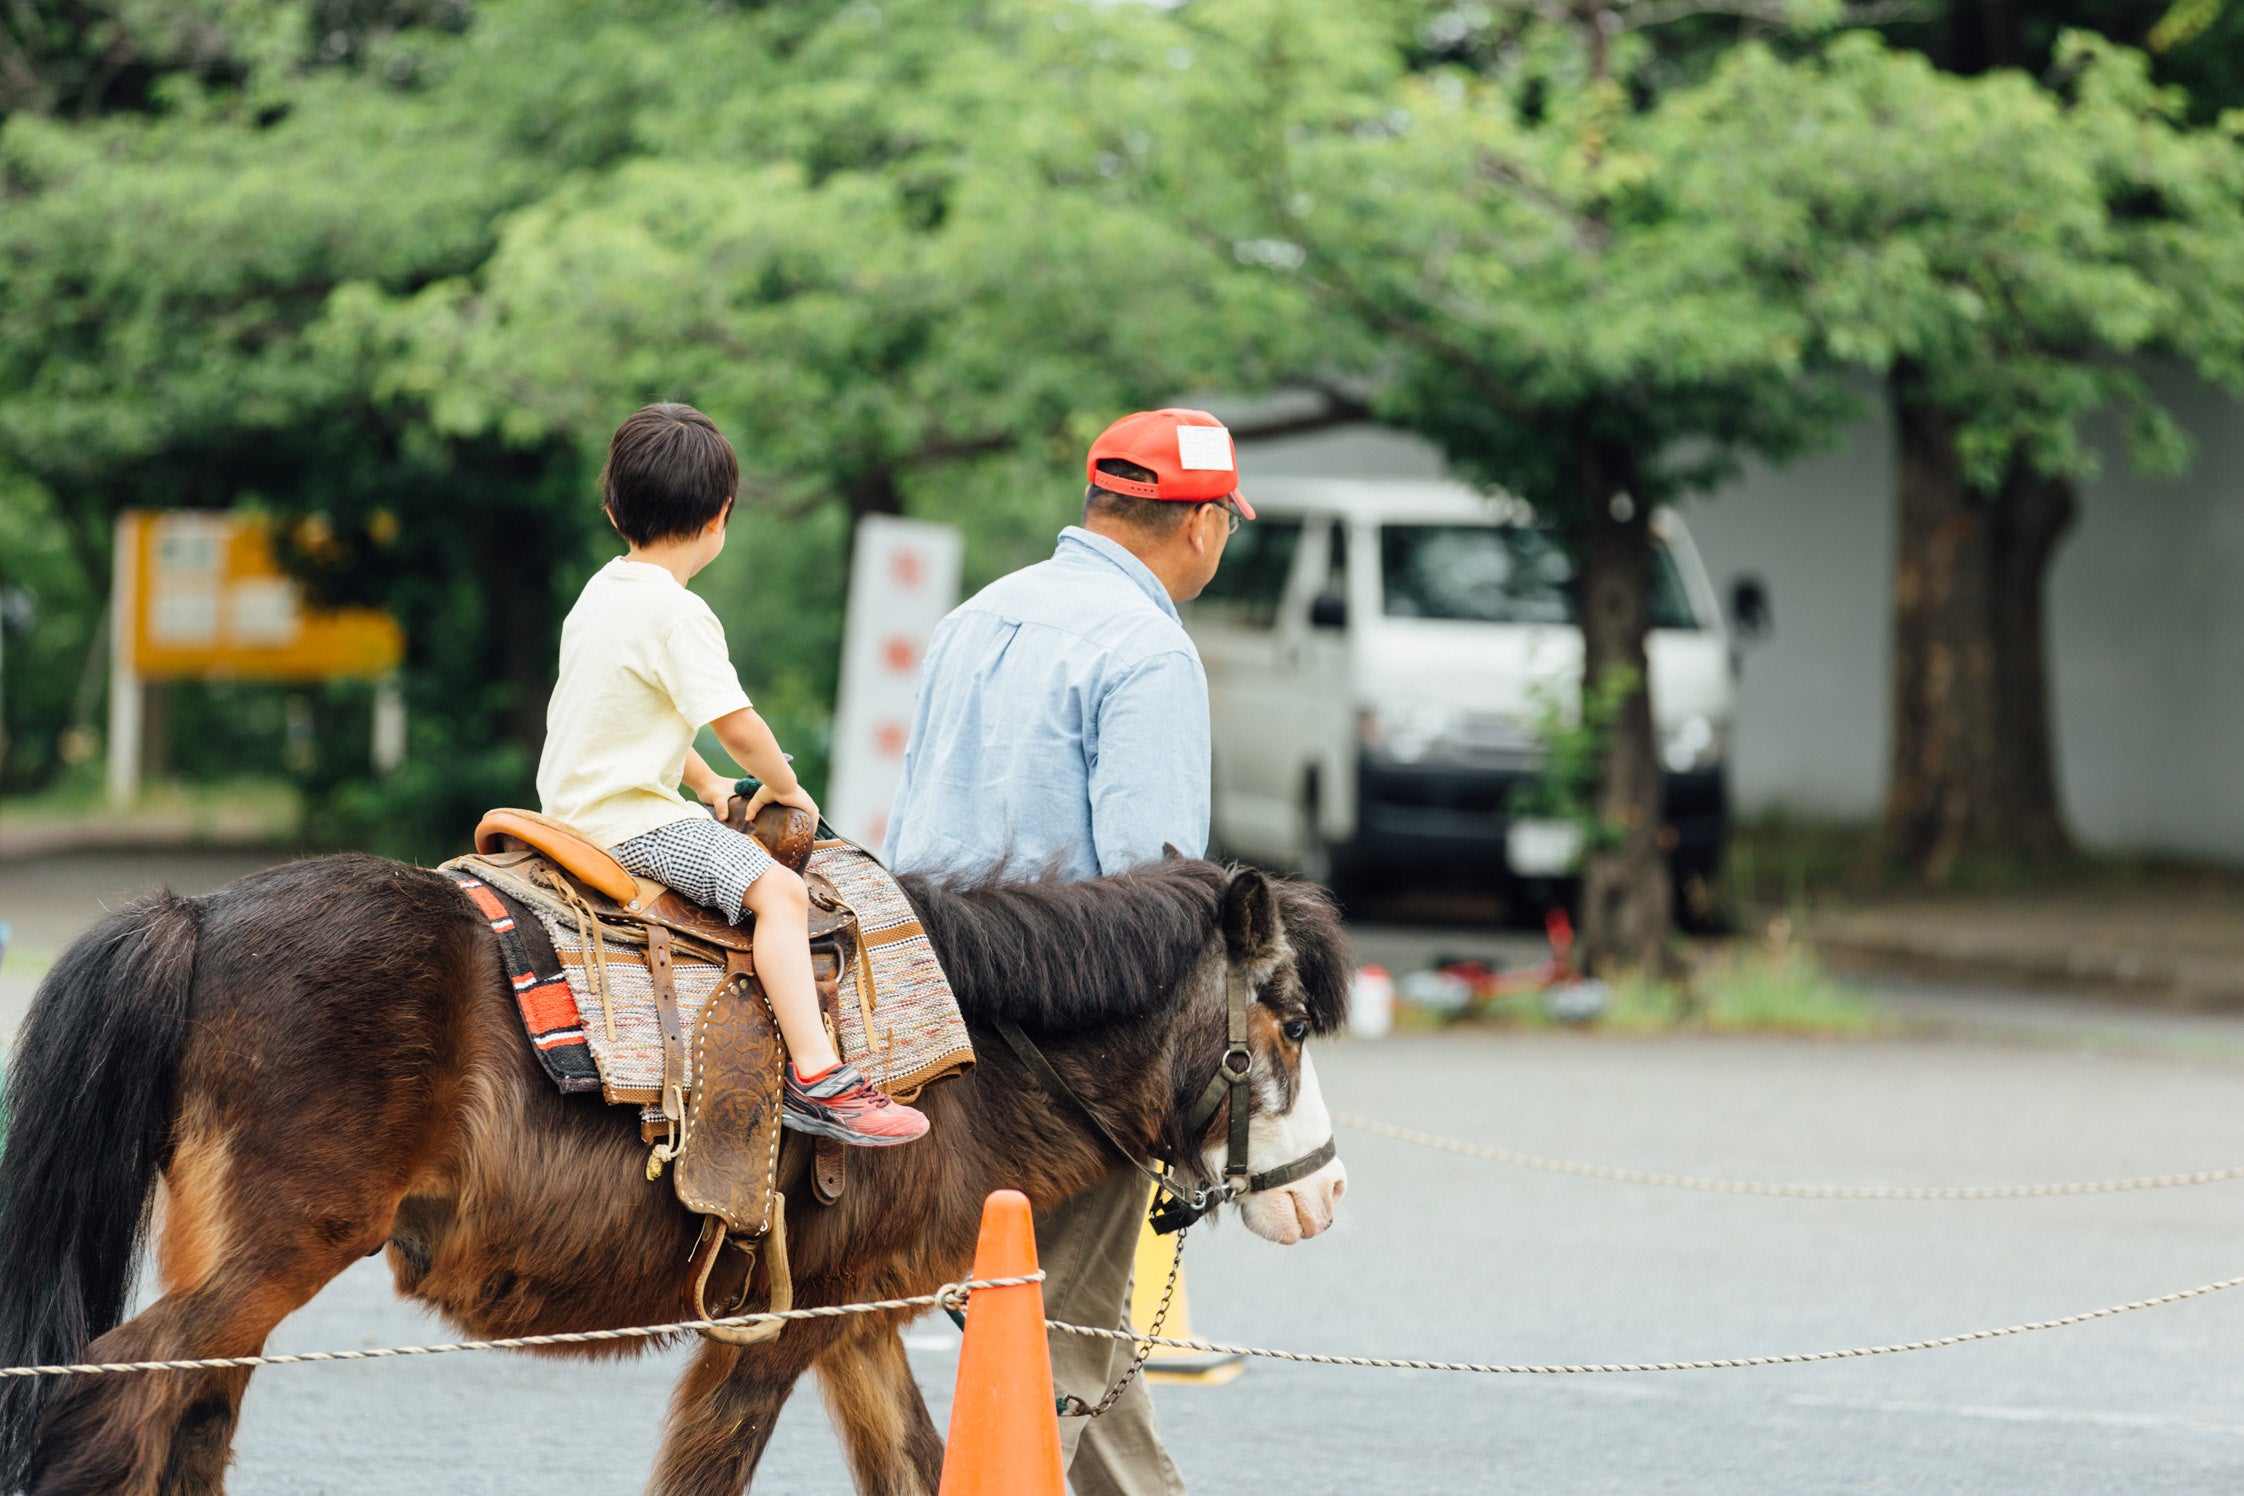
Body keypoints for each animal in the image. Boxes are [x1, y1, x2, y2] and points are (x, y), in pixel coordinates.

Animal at [0, 851, 1351, 1495]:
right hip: (274, 1252)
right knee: (99, 1401)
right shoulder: (777, 1331)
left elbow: (920, 1467)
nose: (1327, 1189)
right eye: (1286, 1019)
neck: (962, 1044)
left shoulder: (852, 1320)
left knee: (186, 1418)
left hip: (234, 1267)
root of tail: (197, 916)